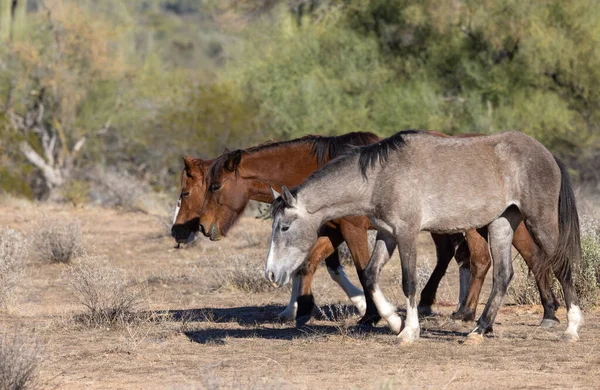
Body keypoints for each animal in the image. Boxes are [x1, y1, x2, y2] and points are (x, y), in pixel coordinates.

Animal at [175, 131, 564, 326]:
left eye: (211, 187)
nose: (200, 228)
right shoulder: (330, 230)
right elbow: (312, 266)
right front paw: (299, 309)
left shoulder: (351, 229)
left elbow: (359, 269)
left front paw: (371, 313)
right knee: (470, 259)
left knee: (512, 258)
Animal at [266, 129, 580, 342]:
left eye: (284, 227)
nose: (270, 273)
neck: (381, 177)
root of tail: (547, 154)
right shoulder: (387, 234)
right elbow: (370, 275)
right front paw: (394, 322)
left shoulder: (407, 233)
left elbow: (409, 282)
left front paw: (409, 331)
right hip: (502, 224)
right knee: (503, 275)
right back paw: (479, 329)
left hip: (540, 222)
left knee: (561, 267)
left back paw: (572, 327)